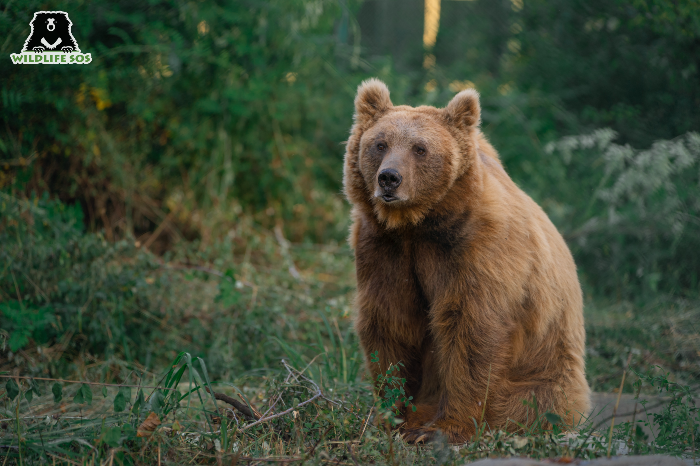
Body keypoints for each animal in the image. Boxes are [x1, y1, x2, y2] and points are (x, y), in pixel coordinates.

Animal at [344, 78, 592, 444]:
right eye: (380, 143)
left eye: (420, 148)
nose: (389, 178)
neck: (418, 224)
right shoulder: (383, 250)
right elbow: (390, 321)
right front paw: (391, 415)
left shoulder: (476, 250)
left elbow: (471, 330)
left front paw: (447, 427)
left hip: (545, 374)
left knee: (532, 403)